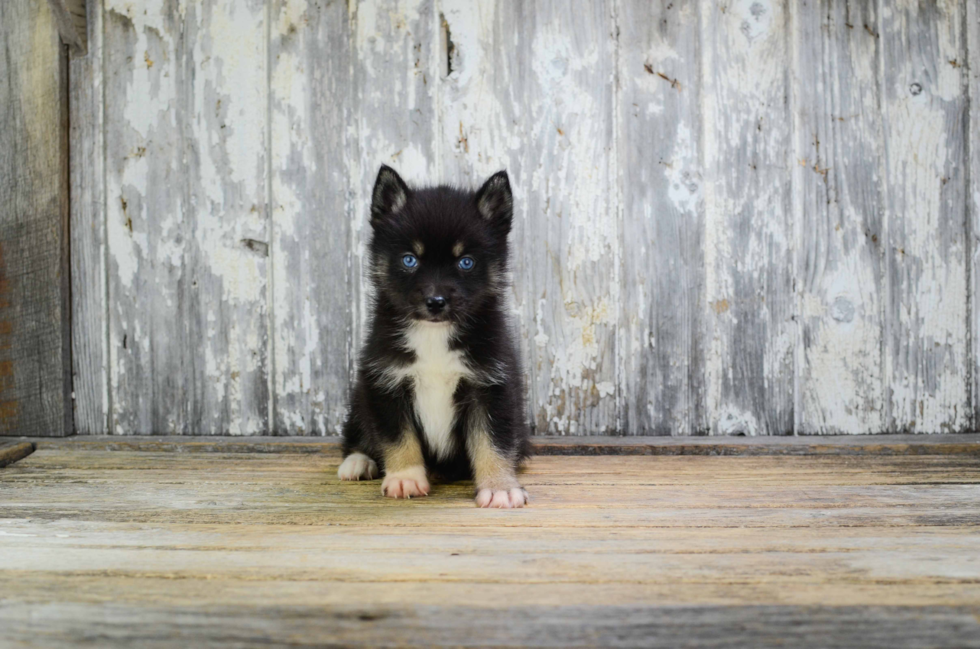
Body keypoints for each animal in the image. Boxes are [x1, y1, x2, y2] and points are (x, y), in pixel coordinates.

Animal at [340, 165, 532, 508]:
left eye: (466, 262)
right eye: (409, 259)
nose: (435, 301)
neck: (433, 336)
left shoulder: (491, 385)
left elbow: (494, 440)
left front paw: (499, 485)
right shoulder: (385, 382)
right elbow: (397, 436)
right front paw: (404, 477)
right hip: (360, 397)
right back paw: (358, 460)